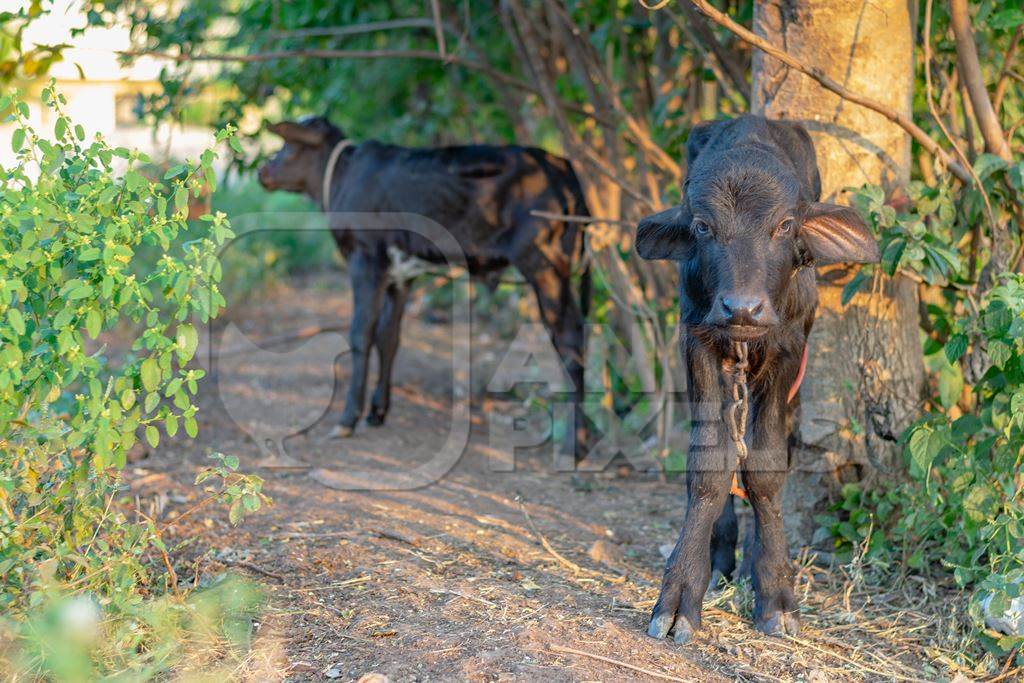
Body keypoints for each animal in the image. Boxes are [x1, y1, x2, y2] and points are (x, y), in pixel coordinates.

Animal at [260, 118, 589, 454]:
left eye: (288, 147)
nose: (263, 171)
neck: (341, 178)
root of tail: (561, 166)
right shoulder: (402, 273)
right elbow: (389, 337)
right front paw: (377, 412)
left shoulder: (366, 258)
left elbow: (361, 334)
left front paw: (348, 420)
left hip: (543, 263)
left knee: (569, 339)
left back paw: (574, 443)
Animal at [630, 114, 880, 643]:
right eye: (703, 226)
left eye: (783, 225)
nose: (741, 308)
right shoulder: (698, 343)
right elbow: (710, 465)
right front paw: (681, 596)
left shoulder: (789, 350)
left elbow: (764, 468)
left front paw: (777, 596)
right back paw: (724, 556)